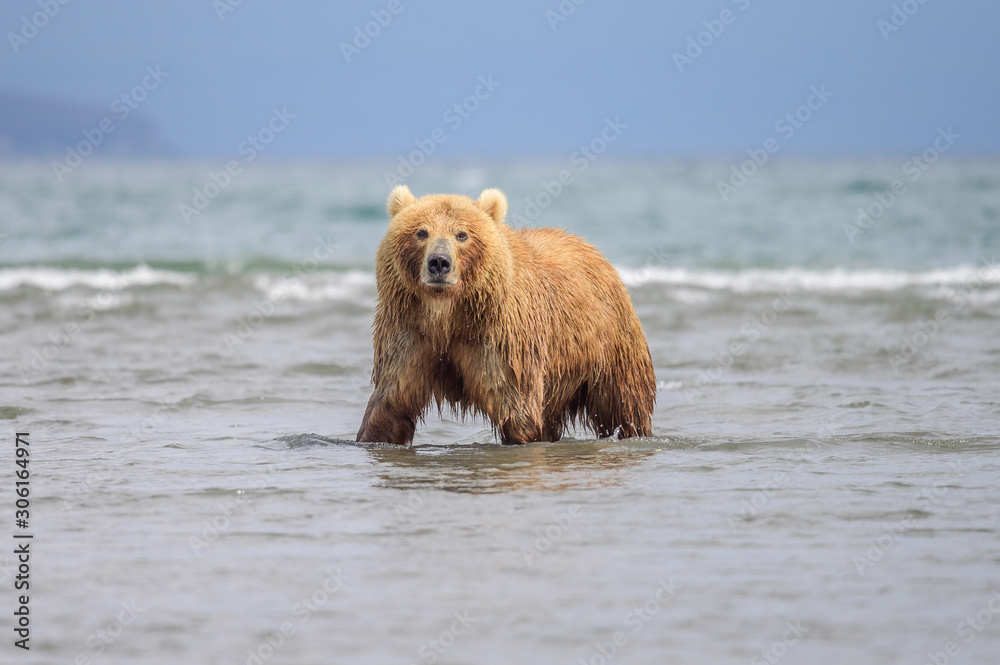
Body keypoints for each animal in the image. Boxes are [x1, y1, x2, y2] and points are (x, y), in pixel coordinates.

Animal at [356, 185, 656, 445]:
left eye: (462, 234)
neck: (447, 314)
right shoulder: (409, 334)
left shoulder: (499, 340)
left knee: (624, 403)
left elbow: (517, 410)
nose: (439, 262)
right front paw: (373, 434)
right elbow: (390, 402)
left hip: (609, 346)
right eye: (421, 232)